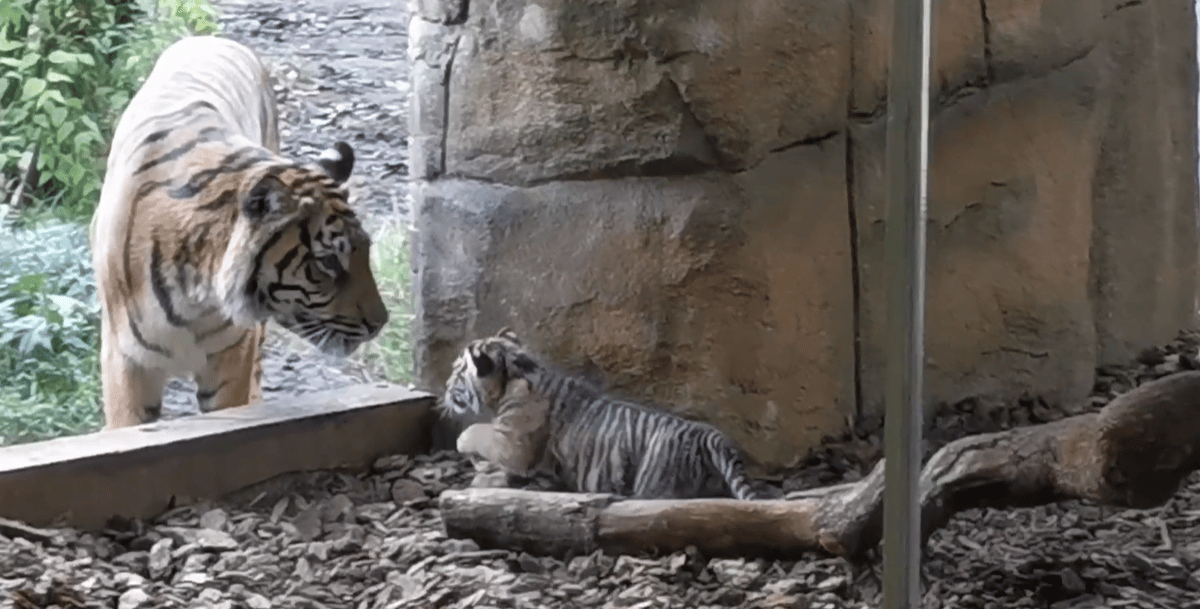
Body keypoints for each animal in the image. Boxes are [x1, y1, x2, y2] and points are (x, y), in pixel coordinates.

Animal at [89, 35, 388, 430]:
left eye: (365, 251)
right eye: (327, 263)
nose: (380, 324)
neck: (195, 291)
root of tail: (212, 37)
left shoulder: (233, 352)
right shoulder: (126, 361)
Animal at [439, 328, 765, 500]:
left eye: (456, 372)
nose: (444, 386)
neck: (516, 372)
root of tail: (707, 434)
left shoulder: (511, 443)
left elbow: (475, 432)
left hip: (654, 483)